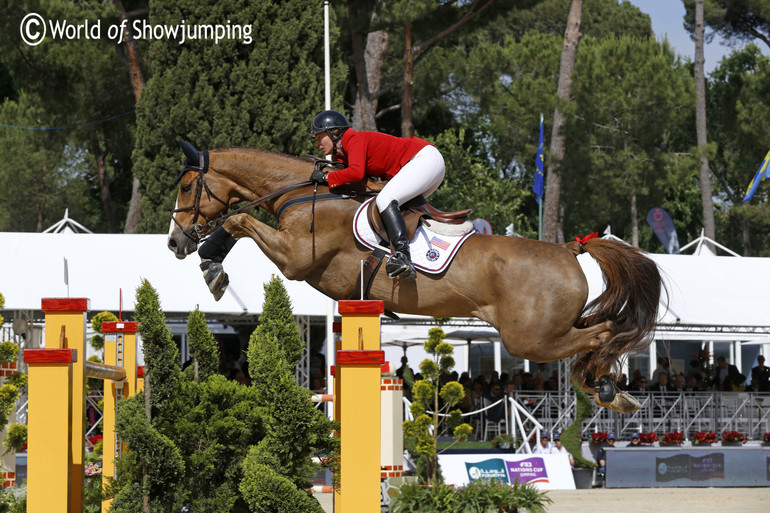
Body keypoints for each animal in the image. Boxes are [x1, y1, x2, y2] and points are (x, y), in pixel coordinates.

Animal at [168, 141, 660, 412]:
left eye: (187, 187)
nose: (175, 242)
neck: (305, 192)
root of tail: (569, 250)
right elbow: (240, 224)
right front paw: (210, 264)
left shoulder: (295, 259)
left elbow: (238, 222)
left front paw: (211, 265)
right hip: (551, 328)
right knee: (601, 331)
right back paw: (612, 390)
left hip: (531, 339)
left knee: (603, 334)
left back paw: (608, 388)